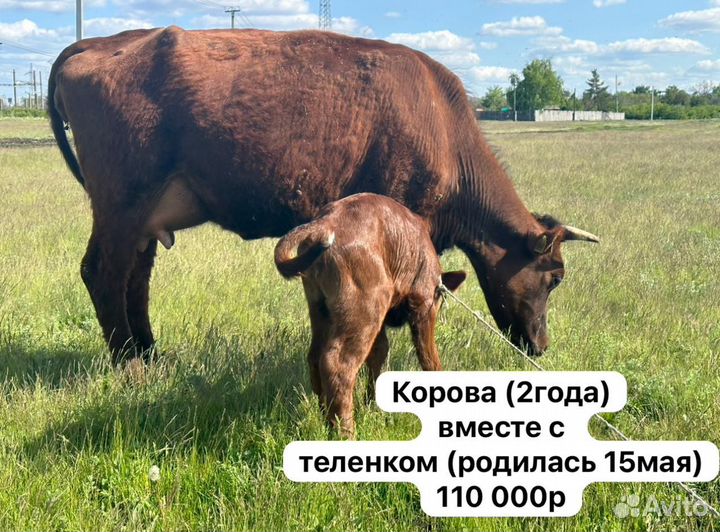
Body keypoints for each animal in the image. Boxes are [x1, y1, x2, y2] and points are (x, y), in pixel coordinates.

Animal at [48, 27, 599, 364]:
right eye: (555, 276)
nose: (541, 346)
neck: (441, 122)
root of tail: (96, 43)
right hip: (120, 208)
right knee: (103, 273)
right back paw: (129, 364)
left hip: (142, 219)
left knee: (134, 279)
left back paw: (150, 354)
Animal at [275, 193, 466, 437]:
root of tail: (325, 223)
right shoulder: (424, 307)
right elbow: (429, 357)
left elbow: (379, 355)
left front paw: (374, 407)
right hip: (367, 309)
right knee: (338, 366)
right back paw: (346, 433)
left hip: (321, 311)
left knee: (315, 359)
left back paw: (327, 424)